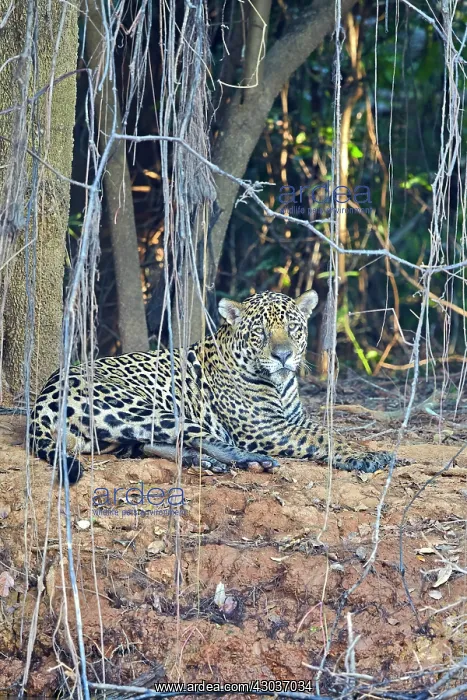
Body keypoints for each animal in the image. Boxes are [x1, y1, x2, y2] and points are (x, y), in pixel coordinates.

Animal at [29, 289, 394, 483]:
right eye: (260, 332)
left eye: (293, 327)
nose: (283, 356)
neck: (278, 383)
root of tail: (44, 395)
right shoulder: (266, 428)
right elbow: (322, 438)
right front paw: (367, 457)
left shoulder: (293, 419)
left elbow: (331, 431)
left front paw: (370, 450)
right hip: (147, 407)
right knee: (205, 439)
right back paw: (251, 461)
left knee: (149, 443)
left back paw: (205, 462)